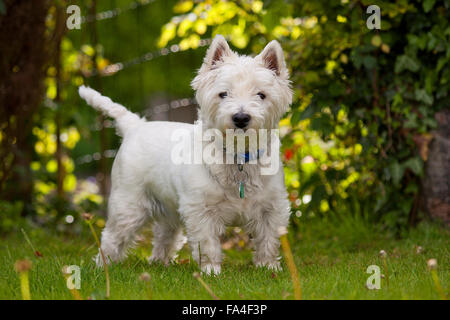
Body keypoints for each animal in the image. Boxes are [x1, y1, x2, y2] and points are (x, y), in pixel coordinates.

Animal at [79, 35, 294, 276]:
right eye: (223, 94)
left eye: (261, 94)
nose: (240, 118)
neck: (238, 157)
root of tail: (135, 125)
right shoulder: (200, 210)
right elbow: (207, 243)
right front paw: (211, 271)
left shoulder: (272, 207)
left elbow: (269, 239)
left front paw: (269, 267)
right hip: (128, 202)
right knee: (113, 236)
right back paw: (103, 267)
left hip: (167, 209)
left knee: (164, 235)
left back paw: (159, 262)